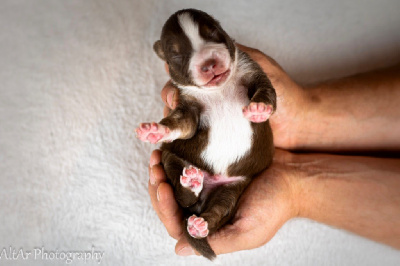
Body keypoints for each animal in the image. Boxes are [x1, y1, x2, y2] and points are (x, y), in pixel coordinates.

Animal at [136, 8, 276, 260]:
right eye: (176, 55)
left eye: (214, 33)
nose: (209, 64)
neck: (218, 89)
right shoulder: (187, 107)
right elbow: (180, 125)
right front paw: (155, 130)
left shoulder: (253, 71)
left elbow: (267, 90)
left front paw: (260, 109)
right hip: (172, 158)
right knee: (183, 197)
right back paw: (191, 183)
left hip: (232, 188)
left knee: (220, 209)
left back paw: (200, 225)